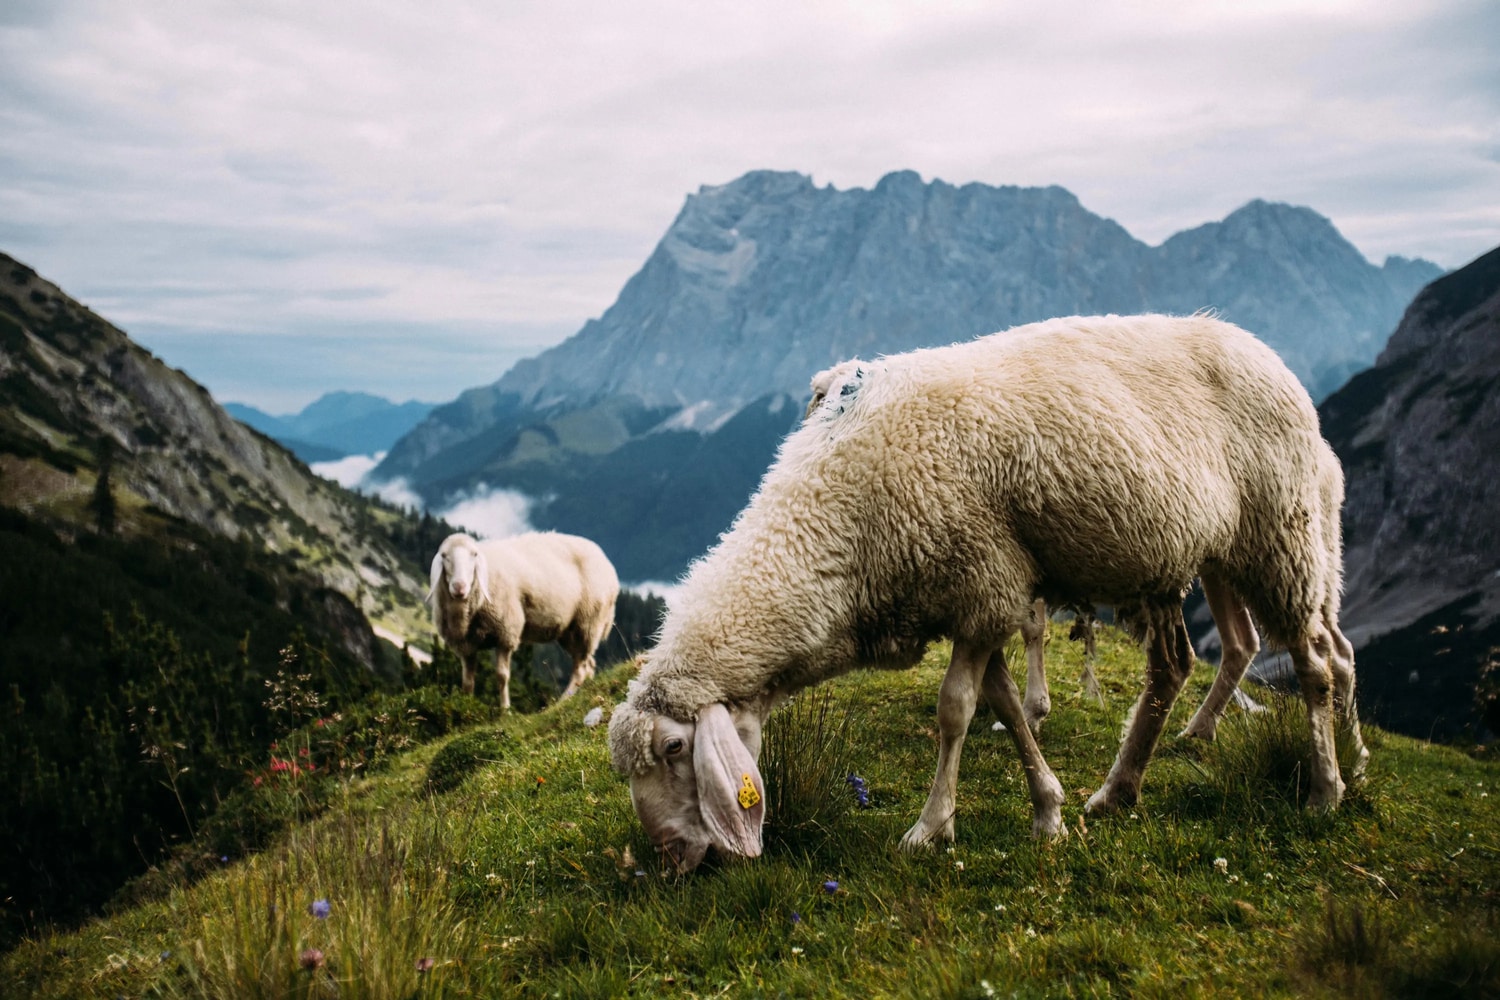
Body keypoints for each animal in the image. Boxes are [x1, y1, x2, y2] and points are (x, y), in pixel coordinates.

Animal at [429, 530, 621, 710]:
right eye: (444, 556)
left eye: (474, 554)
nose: (459, 587)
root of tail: (607, 563)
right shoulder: (466, 646)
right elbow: (467, 682)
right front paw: (466, 706)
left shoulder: (506, 632)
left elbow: (502, 675)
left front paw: (505, 710)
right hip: (570, 632)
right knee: (588, 664)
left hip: (588, 622)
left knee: (580, 669)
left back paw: (561, 701)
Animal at [603, 316, 1368, 869]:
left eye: (674, 750)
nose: (669, 858)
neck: (840, 518)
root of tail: (1269, 356)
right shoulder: (982, 594)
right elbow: (1001, 703)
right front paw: (1048, 810)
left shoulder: (983, 585)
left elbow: (955, 711)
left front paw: (931, 826)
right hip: (1189, 556)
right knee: (1180, 666)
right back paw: (1117, 791)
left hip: (1280, 536)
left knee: (1315, 663)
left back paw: (1327, 789)